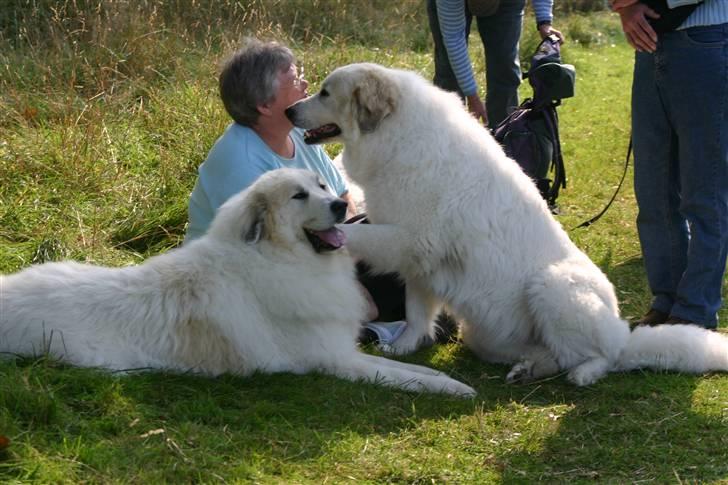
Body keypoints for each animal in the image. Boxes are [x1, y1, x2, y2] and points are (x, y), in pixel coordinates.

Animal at [0, 168, 474, 396]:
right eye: (299, 196)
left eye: (322, 185)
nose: (341, 206)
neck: (277, 257)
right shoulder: (337, 361)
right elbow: (405, 378)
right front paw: (454, 389)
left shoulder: (346, 351)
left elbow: (409, 367)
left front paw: (450, 380)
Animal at [288, 62, 728, 384]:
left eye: (325, 92)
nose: (289, 110)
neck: (395, 136)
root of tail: (622, 331)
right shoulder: (420, 263)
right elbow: (416, 312)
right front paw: (405, 347)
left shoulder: (408, 239)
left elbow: (355, 234)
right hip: (483, 332)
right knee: (554, 354)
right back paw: (528, 369)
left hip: (553, 286)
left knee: (602, 357)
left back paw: (583, 373)